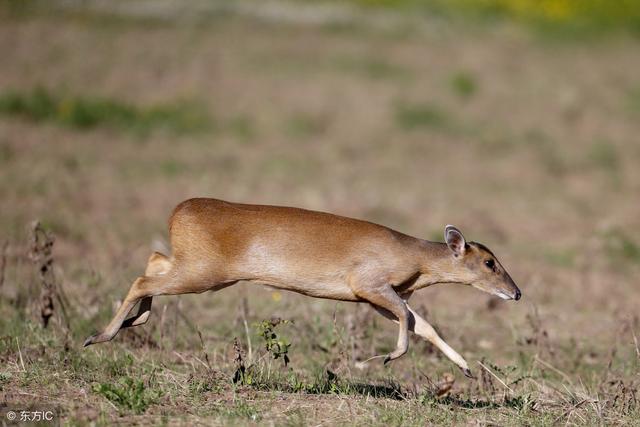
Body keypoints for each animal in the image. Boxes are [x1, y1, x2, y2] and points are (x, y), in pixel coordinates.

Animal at [84, 198, 520, 378]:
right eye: (490, 262)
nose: (516, 293)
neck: (414, 259)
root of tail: (177, 213)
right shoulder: (368, 283)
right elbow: (407, 322)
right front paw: (382, 359)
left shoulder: (380, 295)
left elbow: (422, 324)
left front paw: (466, 369)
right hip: (205, 272)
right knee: (143, 277)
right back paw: (99, 335)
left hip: (193, 265)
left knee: (154, 260)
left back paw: (133, 322)